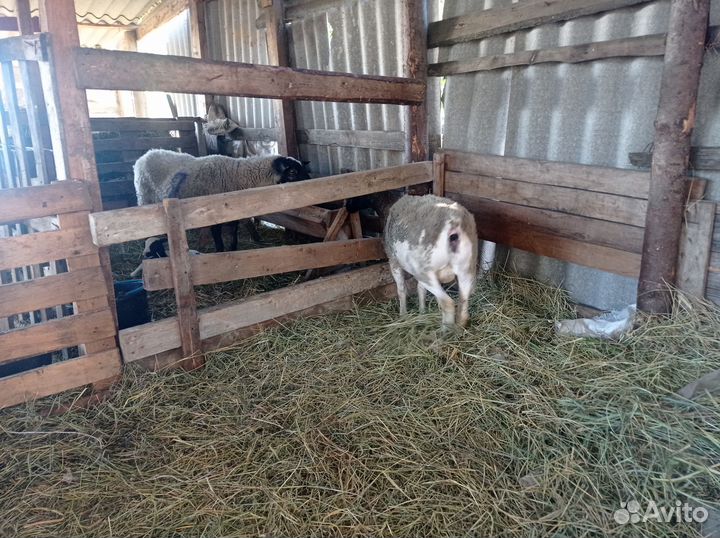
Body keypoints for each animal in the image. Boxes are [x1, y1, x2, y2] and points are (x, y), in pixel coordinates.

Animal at [133, 149, 311, 252]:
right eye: (293, 172)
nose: (311, 181)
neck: (237, 176)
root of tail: (147, 154)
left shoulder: (233, 211)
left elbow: (233, 231)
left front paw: (232, 248)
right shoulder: (213, 212)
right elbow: (217, 234)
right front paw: (220, 251)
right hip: (145, 196)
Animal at [384, 194, 478, 329]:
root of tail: (454, 222)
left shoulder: (393, 261)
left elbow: (401, 289)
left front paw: (403, 315)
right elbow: (420, 289)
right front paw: (422, 312)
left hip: (423, 270)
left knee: (448, 303)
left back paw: (444, 331)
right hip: (467, 267)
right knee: (464, 302)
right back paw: (459, 326)